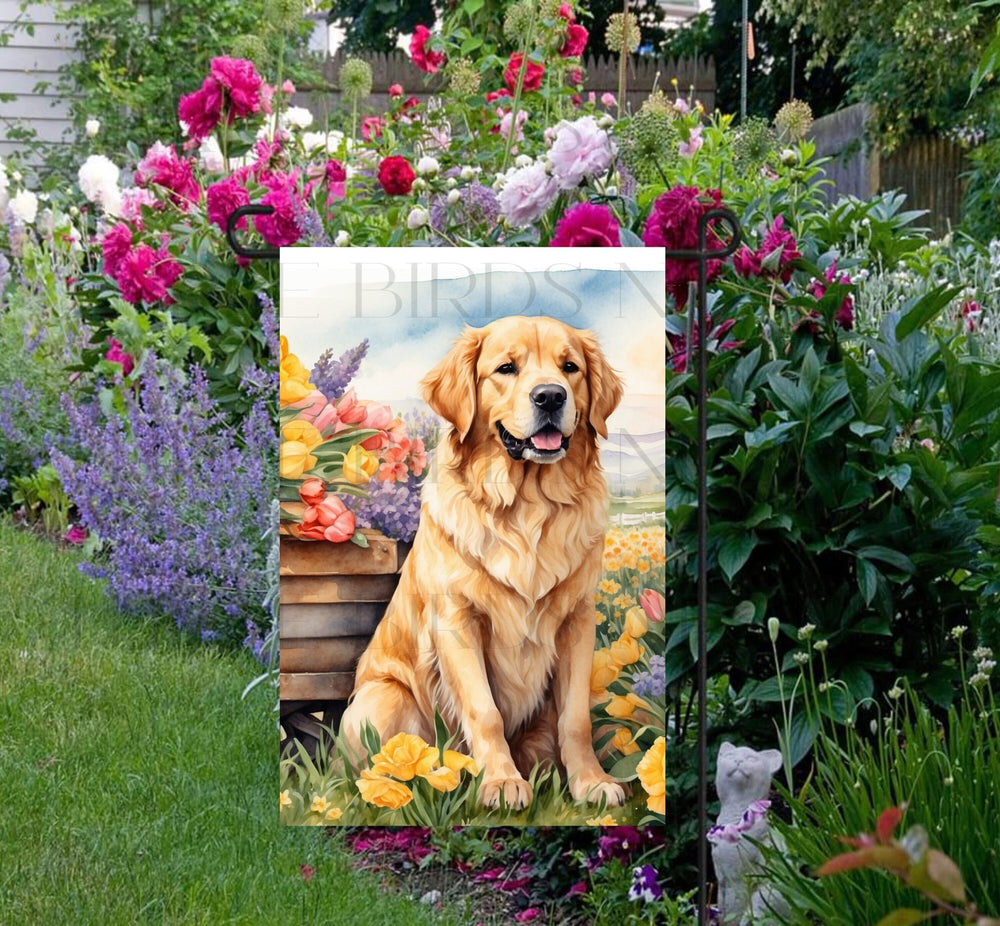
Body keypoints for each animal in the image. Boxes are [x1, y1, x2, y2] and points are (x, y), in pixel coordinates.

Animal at [342, 316, 624, 808]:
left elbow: (576, 718)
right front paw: (502, 783)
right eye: (506, 368)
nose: (550, 396)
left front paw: (591, 783)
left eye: (569, 367)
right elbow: (484, 710)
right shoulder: (457, 620)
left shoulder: (578, 619)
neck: (528, 505)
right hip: (380, 699)